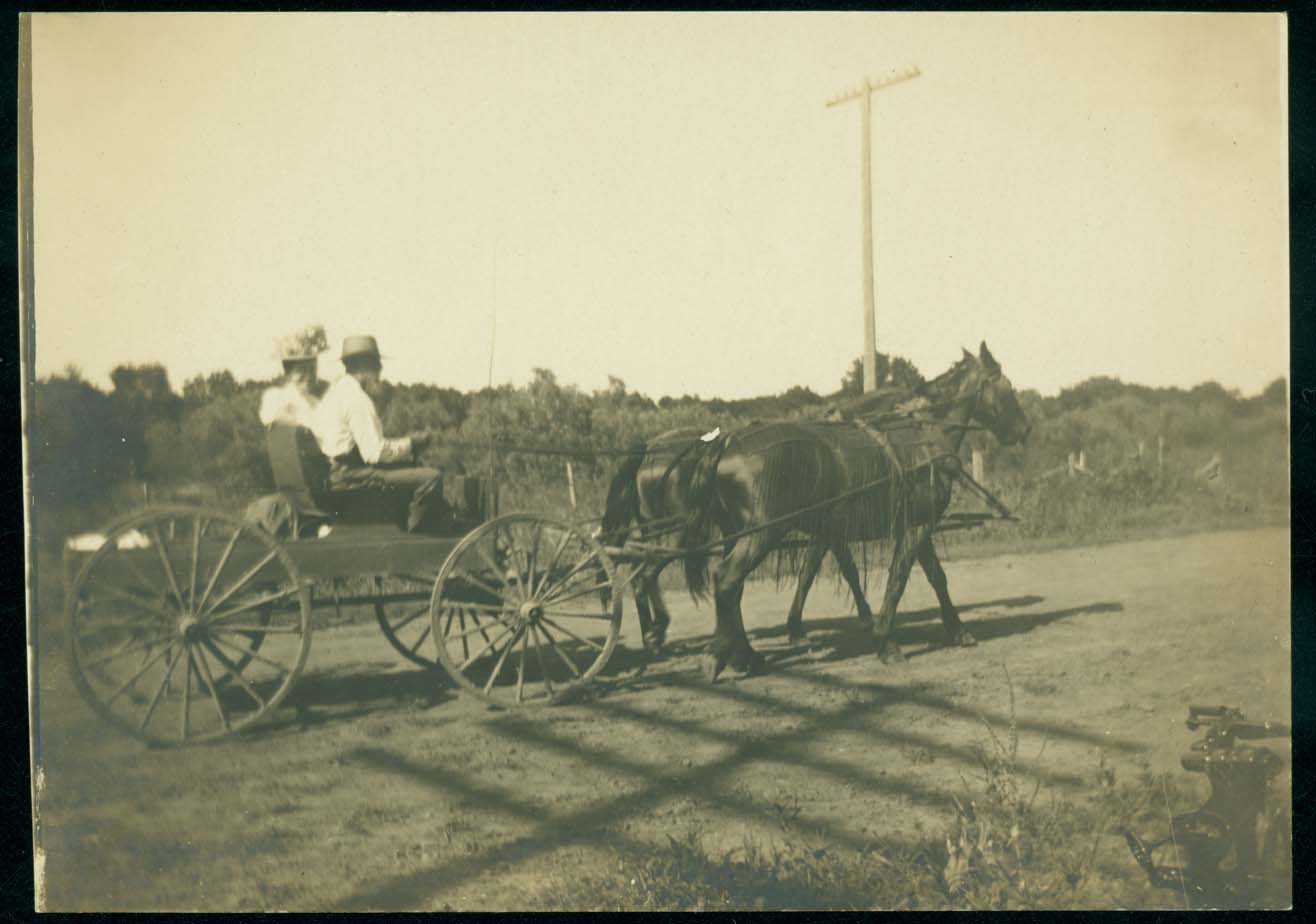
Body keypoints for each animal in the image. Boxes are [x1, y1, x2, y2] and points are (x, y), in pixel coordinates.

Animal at [602, 344, 1031, 684]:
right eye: (1007, 387)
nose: (1023, 430)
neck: (921, 439)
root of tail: (723, 443)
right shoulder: (910, 528)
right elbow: (894, 581)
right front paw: (885, 641)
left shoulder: (894, 527)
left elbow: (934, 578)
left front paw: (958, 631)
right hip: (750, 534)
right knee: (715, 580)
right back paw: (705, 651)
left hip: (734, 534)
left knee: (721, 588)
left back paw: (736, 653)